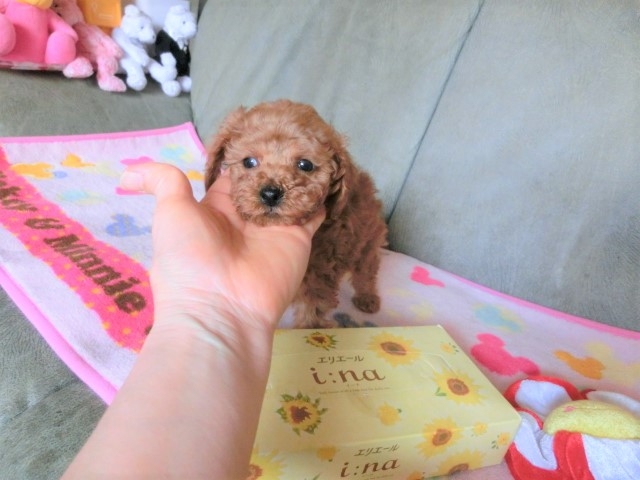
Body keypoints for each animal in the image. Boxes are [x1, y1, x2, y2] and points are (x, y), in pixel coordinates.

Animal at [204, 99, 388, 328]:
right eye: (248, 162)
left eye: (305, 165)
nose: (270, 193)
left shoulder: (320, 274)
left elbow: (313, 308)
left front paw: (310, 328)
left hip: (368, 244)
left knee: (366, 272)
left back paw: (367, 298)